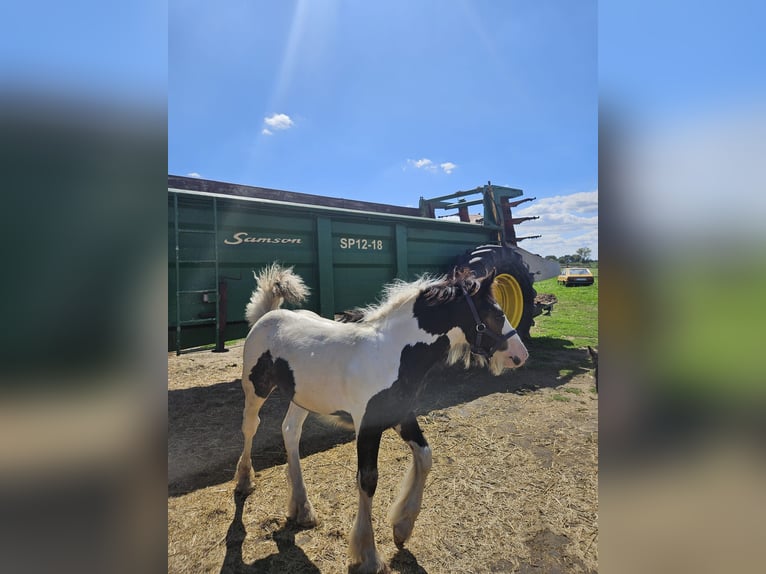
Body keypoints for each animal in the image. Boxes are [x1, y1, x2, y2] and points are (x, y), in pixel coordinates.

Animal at [237, 264, 532, 572]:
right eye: (496, 314)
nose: (521, 355)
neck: (394, 353)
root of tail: (267, 315)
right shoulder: (367, 425)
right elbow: (368, 480)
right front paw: (368, 555)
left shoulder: (401, 414)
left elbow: (425, 457)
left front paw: (402, 528)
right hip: (255, 388)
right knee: (250, 427)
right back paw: (245, 482)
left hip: (303, 397)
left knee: (290, 431)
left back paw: (302, 508)